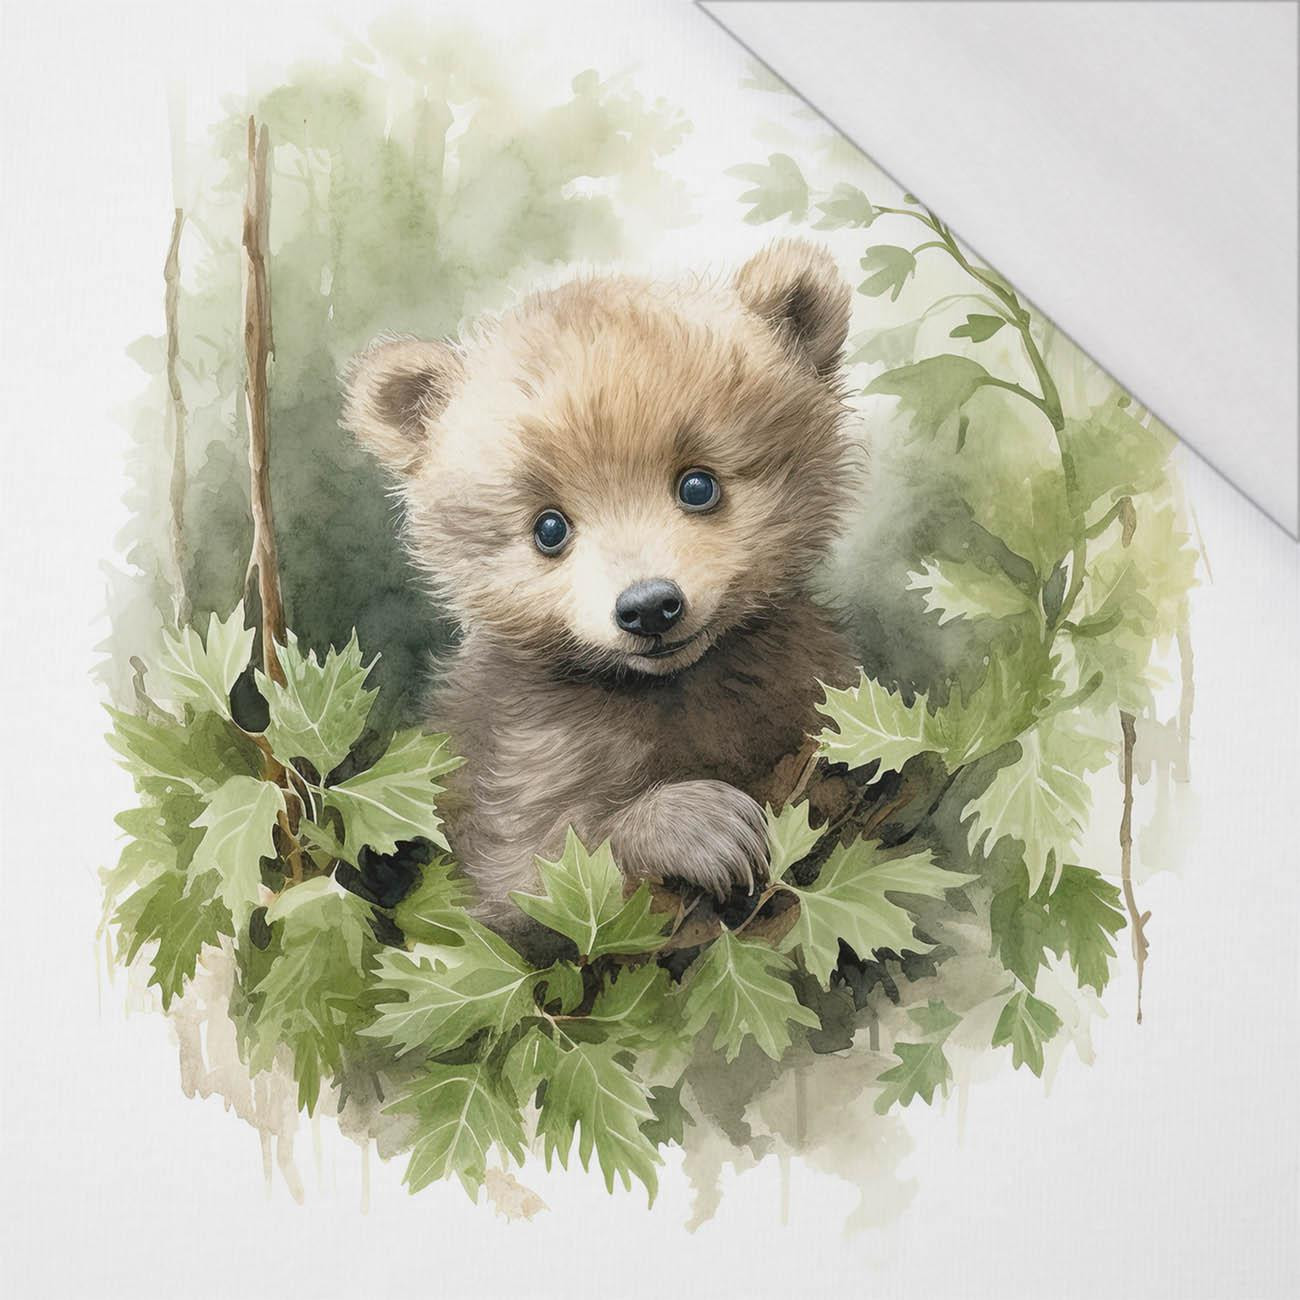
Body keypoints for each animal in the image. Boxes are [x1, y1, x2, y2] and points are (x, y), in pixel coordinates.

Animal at [343, 238, 860, 940]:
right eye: (549, 527)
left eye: (698, 484)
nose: (649, 607)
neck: (673, 691)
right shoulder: (517, 761)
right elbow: (538, 876)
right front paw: (701, 827)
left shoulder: (803, 684)